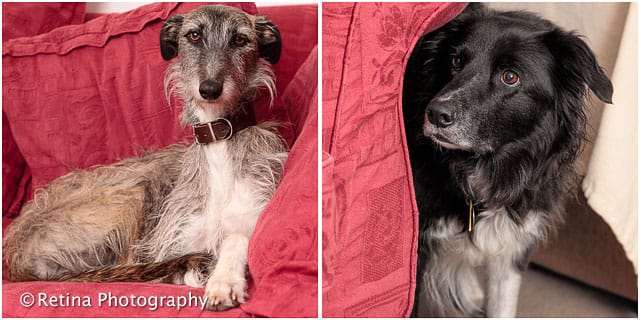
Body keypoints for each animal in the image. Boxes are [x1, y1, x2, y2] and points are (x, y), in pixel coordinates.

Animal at [2, 4, 288, 310]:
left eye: (239, 39)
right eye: (194, 35)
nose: (210, 89)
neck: (218, 140)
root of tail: (14, 251)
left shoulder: (254, 209)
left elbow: (237, 236)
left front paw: (224, 282)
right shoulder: (171, 245)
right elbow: (183, 267)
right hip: (134, 193)